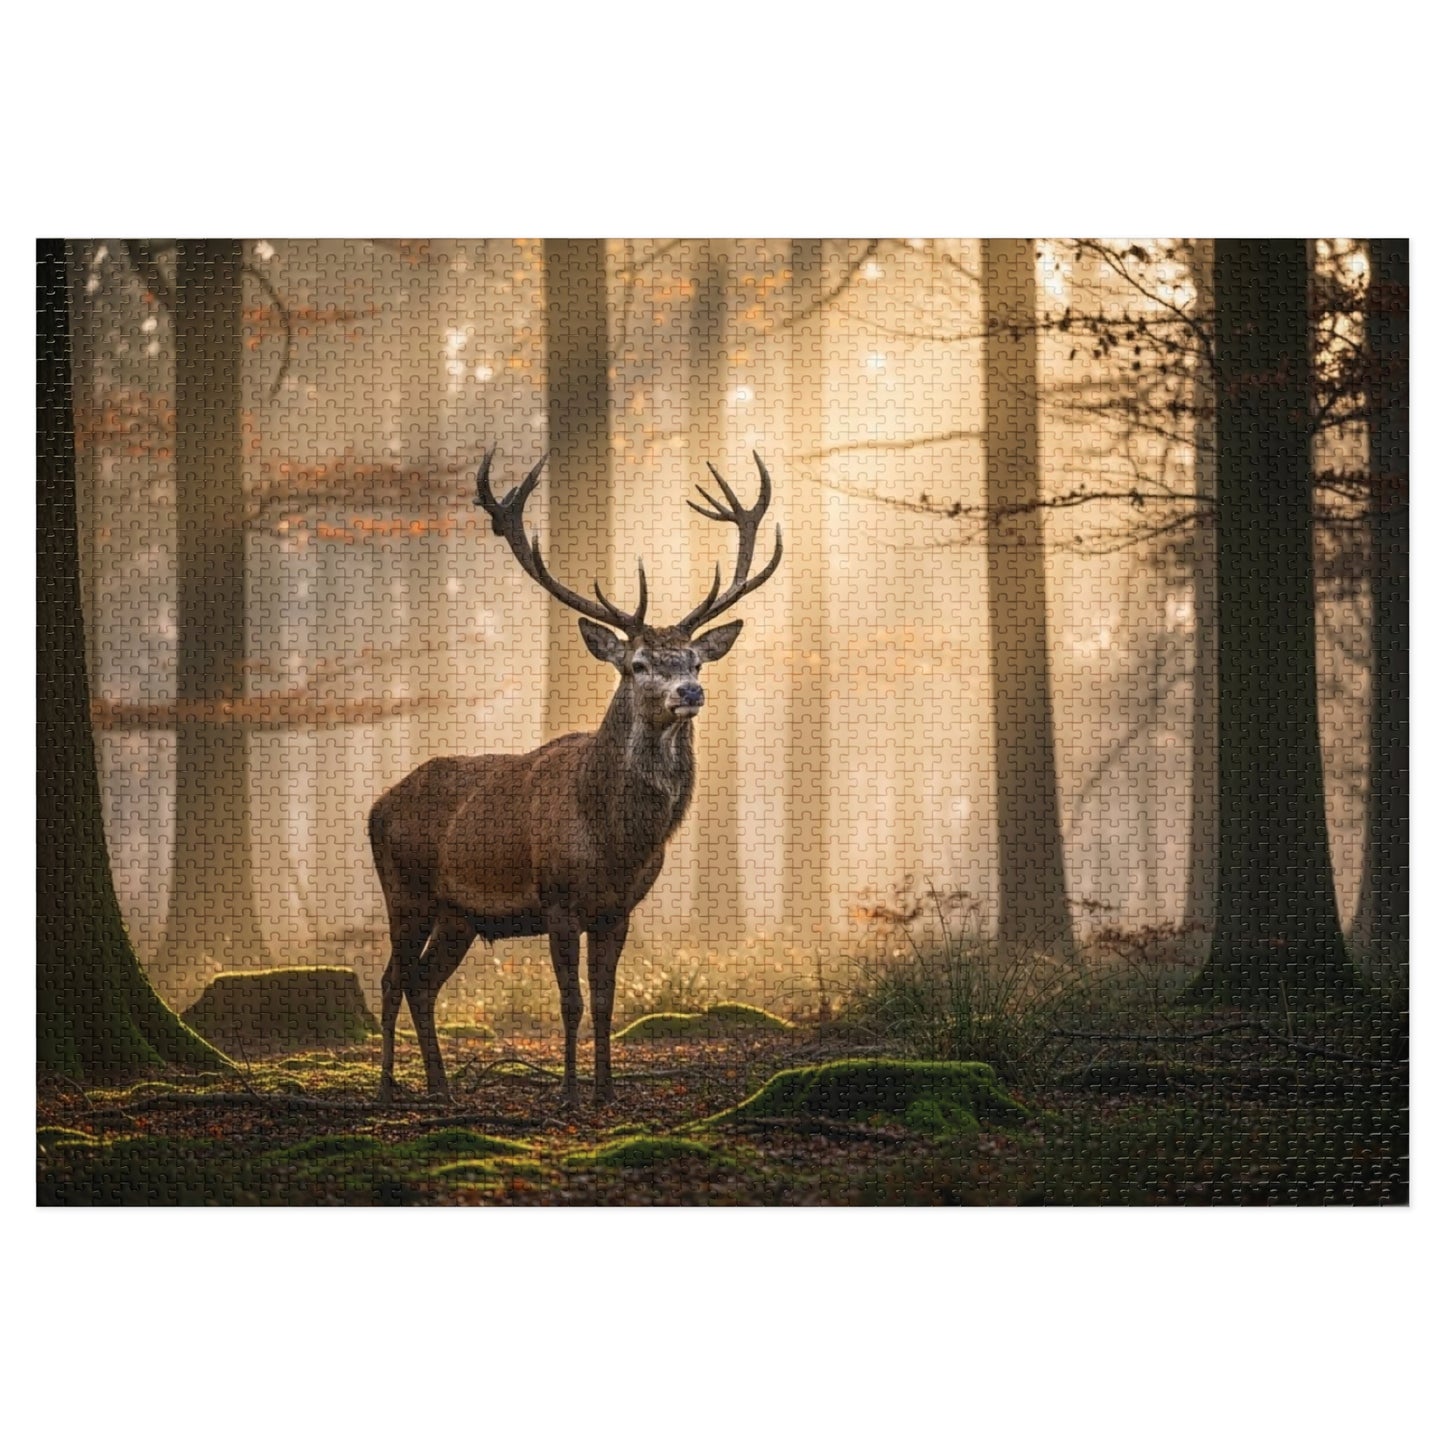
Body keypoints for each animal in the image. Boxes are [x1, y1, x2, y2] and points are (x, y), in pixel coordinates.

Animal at [368, 446, 782, 1106]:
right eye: (638, 664)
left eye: (694, 660)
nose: (690, 692)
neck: (614, 839)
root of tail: (377, 804)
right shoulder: (557, 897)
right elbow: (569, 1001)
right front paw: (566, 1091)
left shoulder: (619, 908)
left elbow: (608, 1001)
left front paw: (607, 1091)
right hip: (404, 889)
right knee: (391, 979)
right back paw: (387, 1087)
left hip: (460, 914)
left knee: (423, 983)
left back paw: (441, 1087)